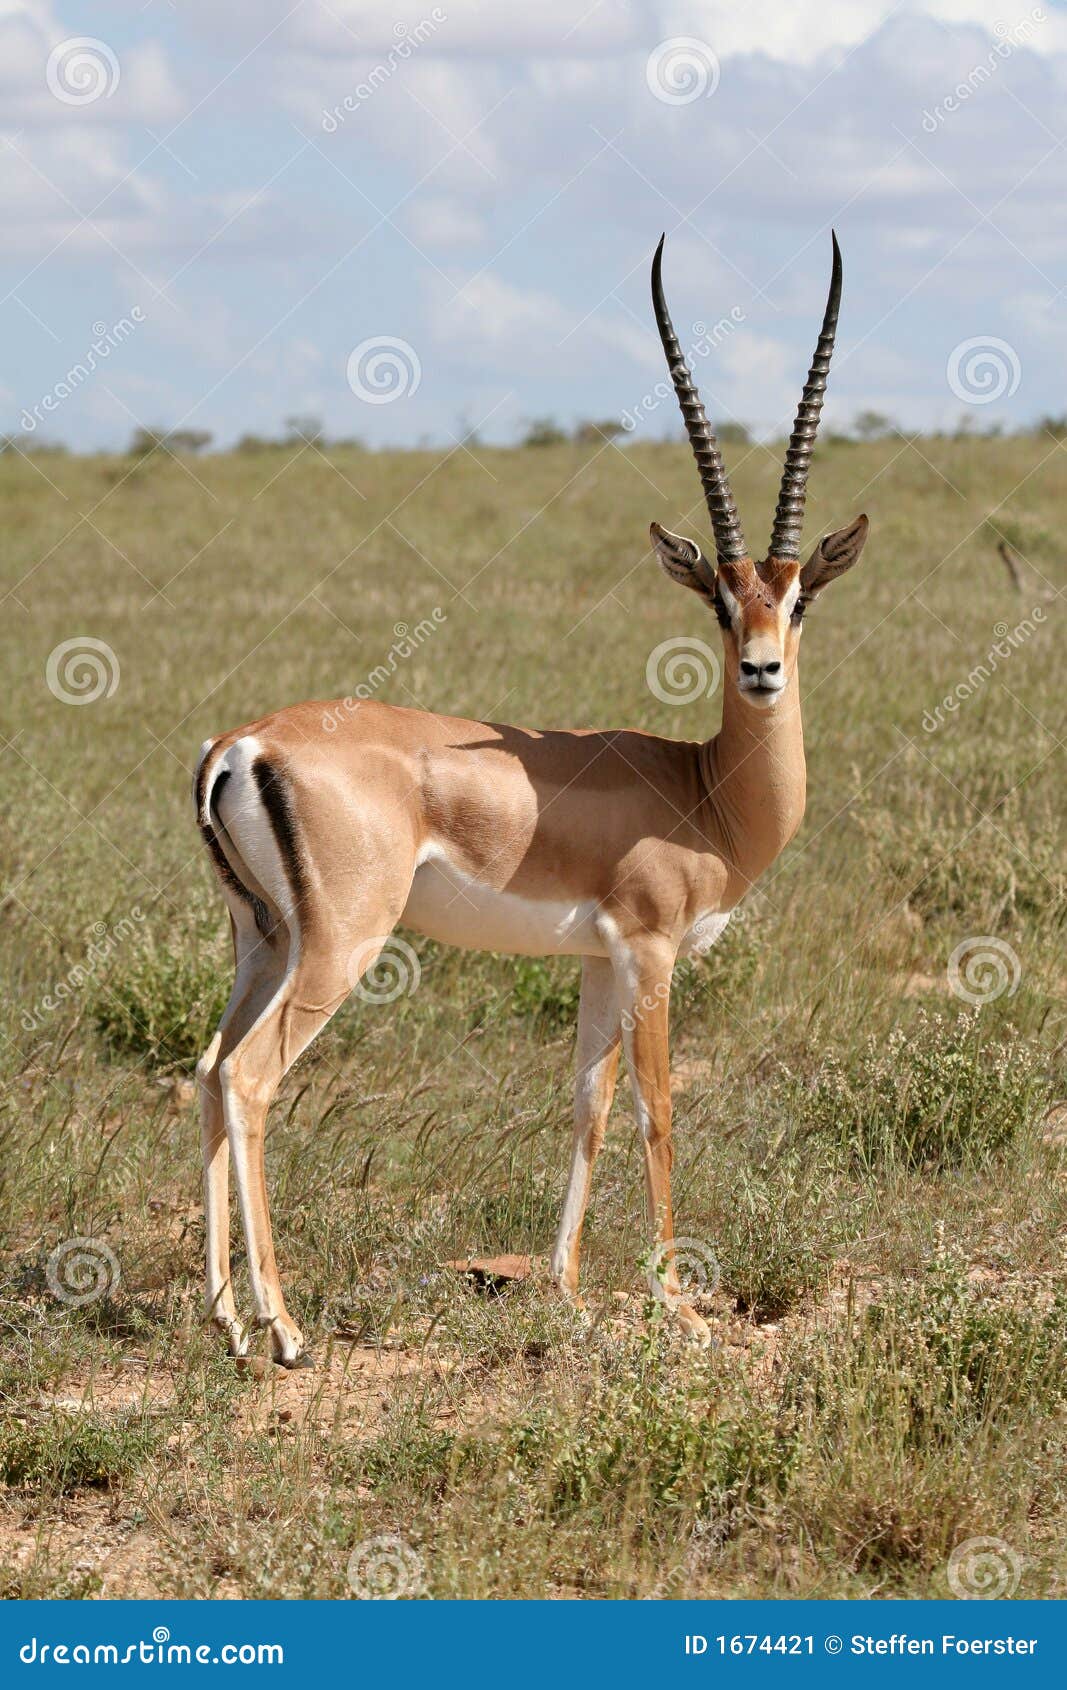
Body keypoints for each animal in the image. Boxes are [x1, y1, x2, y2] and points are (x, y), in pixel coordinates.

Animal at [194, 232, 869, 1364]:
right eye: (718, 600)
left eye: (797, 599)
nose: (761, 670)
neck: (703, 792)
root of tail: (244, 743)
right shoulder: (648, 951)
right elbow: (656, 1108)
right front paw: (677, 1304)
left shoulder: (597, 960)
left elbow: (584, 1103)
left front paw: (563, 1287)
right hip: (337, 946)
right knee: (250, 1079)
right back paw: (283, 1331)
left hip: (262, 940)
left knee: (205, 1068)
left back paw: (228, 1324)